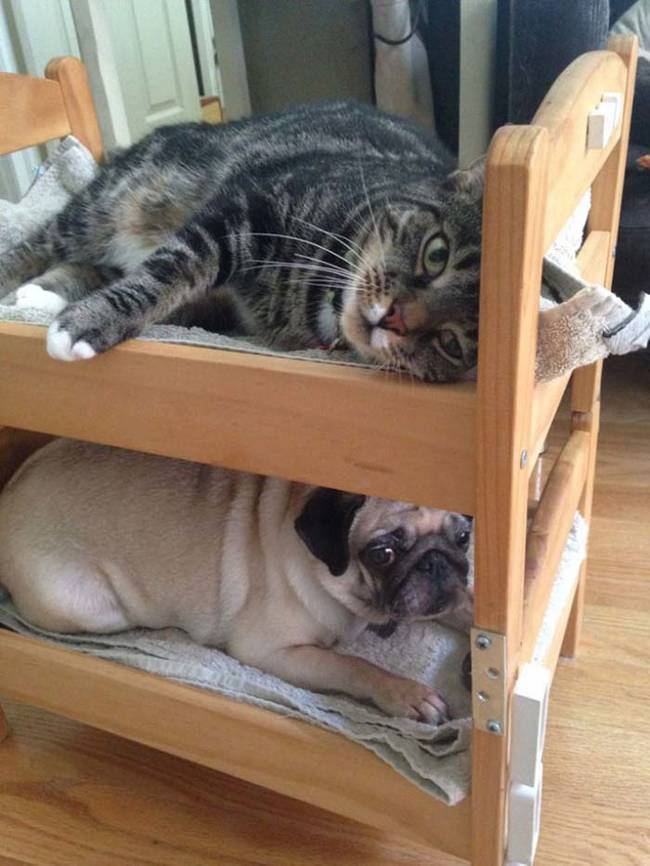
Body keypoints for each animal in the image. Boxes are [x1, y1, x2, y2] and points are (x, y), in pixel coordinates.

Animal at [0, 438, 470, 724]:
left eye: (464, 536)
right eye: (382, 553)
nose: (435, 563)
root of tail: (9, 493)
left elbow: (461, 604)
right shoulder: (271, 651)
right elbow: (354, 665)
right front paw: (405, 692)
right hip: (91, 608)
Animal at [3, 101, 480, 378]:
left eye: (451, 344)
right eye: (436, 254)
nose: (395, 318)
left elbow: (165, 288)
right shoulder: (248, 207)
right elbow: (172, 272)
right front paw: (89, 323)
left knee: (97, 265)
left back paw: (40, 295)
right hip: (116, 202)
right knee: (40, 242)